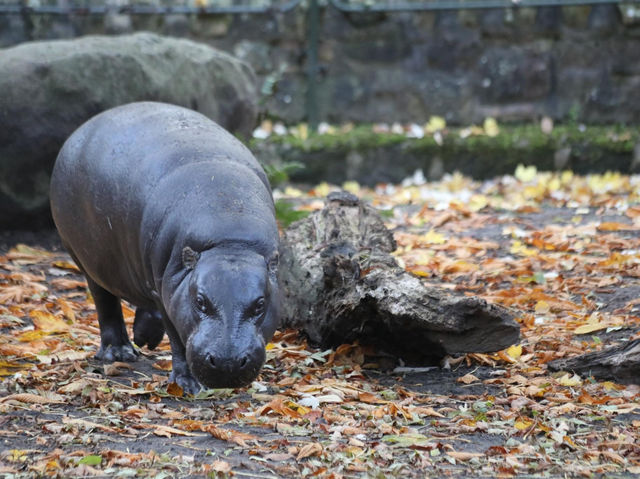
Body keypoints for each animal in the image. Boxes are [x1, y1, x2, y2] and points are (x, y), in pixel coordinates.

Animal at [48, 102, 278, 394]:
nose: (227, 362)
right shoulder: (167, 291)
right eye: (200, 301)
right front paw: (188, 384)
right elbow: (178, 338)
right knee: (104, 301)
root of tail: (83, 127)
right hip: (88, 260)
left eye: (260, 304)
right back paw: (120, 352)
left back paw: (144, 338)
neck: (229, 237)